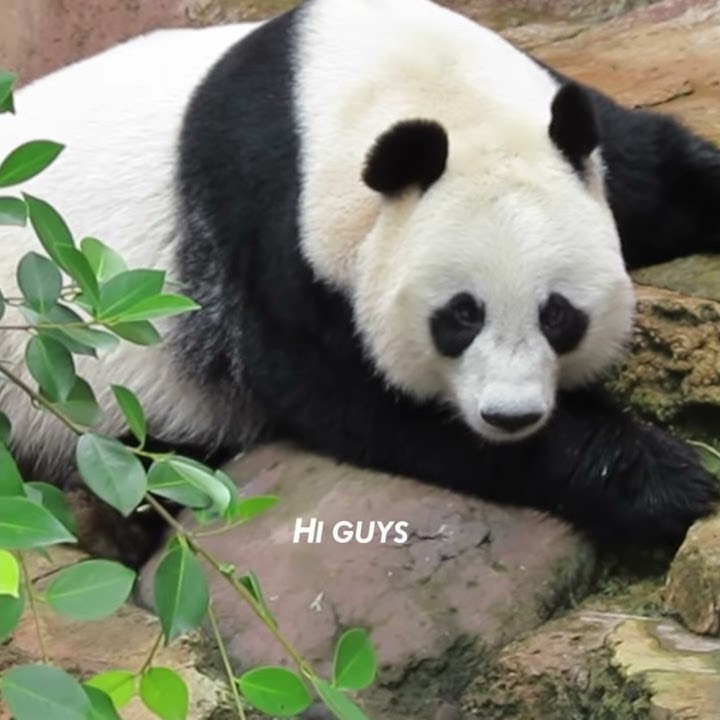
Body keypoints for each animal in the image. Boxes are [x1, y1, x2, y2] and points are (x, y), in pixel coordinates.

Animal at [1, 0, 718, 566]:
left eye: (558, 314)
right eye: (460, 316)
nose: (510, 416)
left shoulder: (569, 129)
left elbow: (658, 169)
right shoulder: (264, 227)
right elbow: (352, 398)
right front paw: (668, 482)